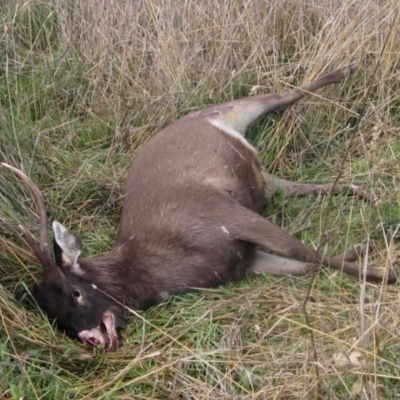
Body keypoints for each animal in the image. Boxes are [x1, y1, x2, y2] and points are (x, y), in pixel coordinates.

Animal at [0, 62, 396, 350]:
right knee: (293, 184)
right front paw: (366, 248)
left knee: (281, 94)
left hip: (229, 111)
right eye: (56, 318)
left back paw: (348, 68)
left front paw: (386, 274)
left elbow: (301, 250)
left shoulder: (221, 213)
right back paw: (364, 193)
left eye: (77, 293)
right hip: (265, 180)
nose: (93, 339)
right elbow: (306, 264)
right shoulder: (242, 264)